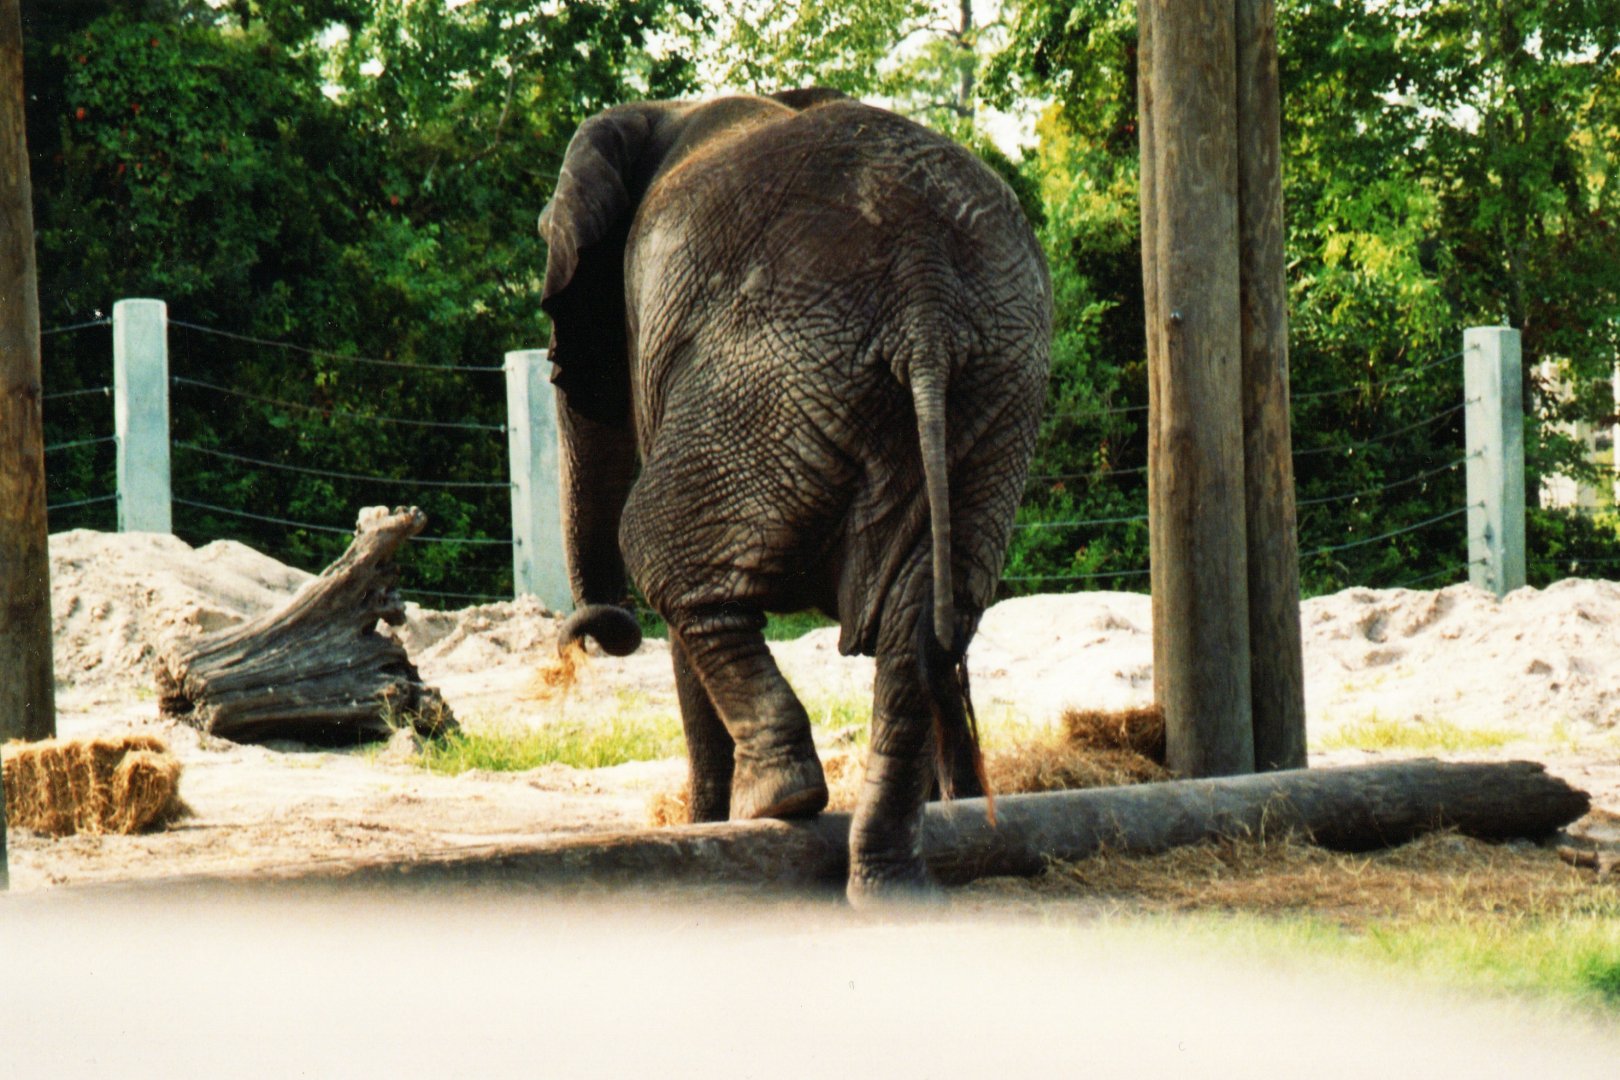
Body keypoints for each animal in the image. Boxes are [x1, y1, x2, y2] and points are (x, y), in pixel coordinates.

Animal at [539, 89, 1051, 904]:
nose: (589, 636)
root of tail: (926, 294)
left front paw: (705, 830)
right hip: (996, 393)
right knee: (923, 623)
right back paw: (890, 891)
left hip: (764, 368)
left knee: (664, 552)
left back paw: (783, 802)